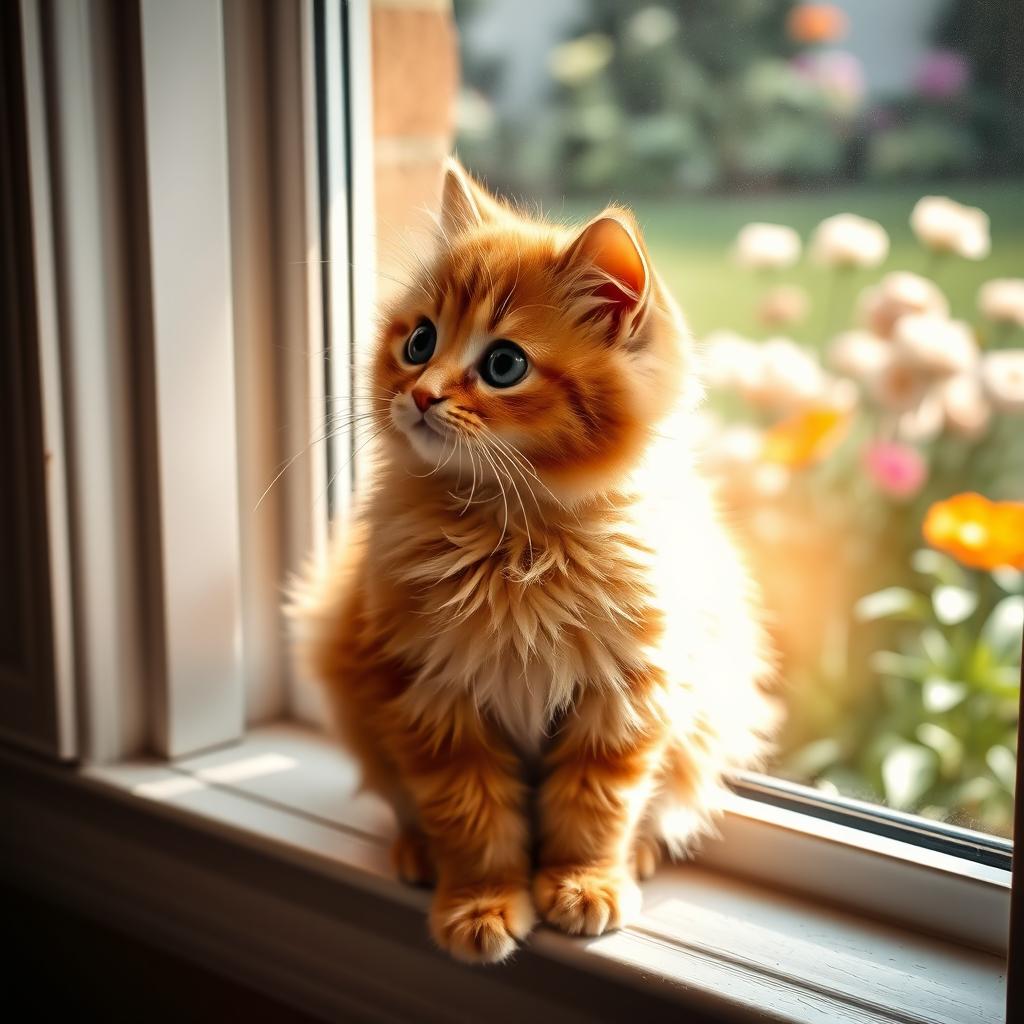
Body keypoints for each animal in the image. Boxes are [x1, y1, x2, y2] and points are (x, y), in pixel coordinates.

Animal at [288, 157, 774, 958]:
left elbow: (595, 808)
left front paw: (585, 883)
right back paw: (416, 852)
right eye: (419, 343)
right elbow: (472, 817)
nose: (420, 394)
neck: (515, 539)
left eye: (504, 364)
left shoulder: (624, 698)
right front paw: (480, 902)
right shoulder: (429, 696)